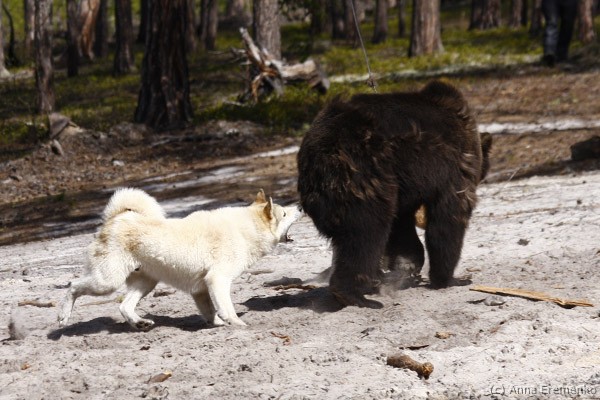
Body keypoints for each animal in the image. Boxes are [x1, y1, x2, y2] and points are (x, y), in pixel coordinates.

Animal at [58, 188, 303, 329]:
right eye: (284, 213)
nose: (300, 206)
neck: (246, 229)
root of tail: (116, 218)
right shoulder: (218, 280)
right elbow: (227, 308)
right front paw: (237, 324)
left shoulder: (201, 289)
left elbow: (210, 311)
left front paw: (217, 324)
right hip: (107, 281)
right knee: (73, 286)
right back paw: (63, 317)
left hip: (145, 283)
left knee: (124, 307)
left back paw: (140, 323)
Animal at [297, 80, 492, 309]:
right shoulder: (453, 169)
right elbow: (448, 218)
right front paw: (451, 278)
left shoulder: (403, 188)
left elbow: (401, 228)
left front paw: (409, 264)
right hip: (363, 176)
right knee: (366, 234)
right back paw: (356, 295)